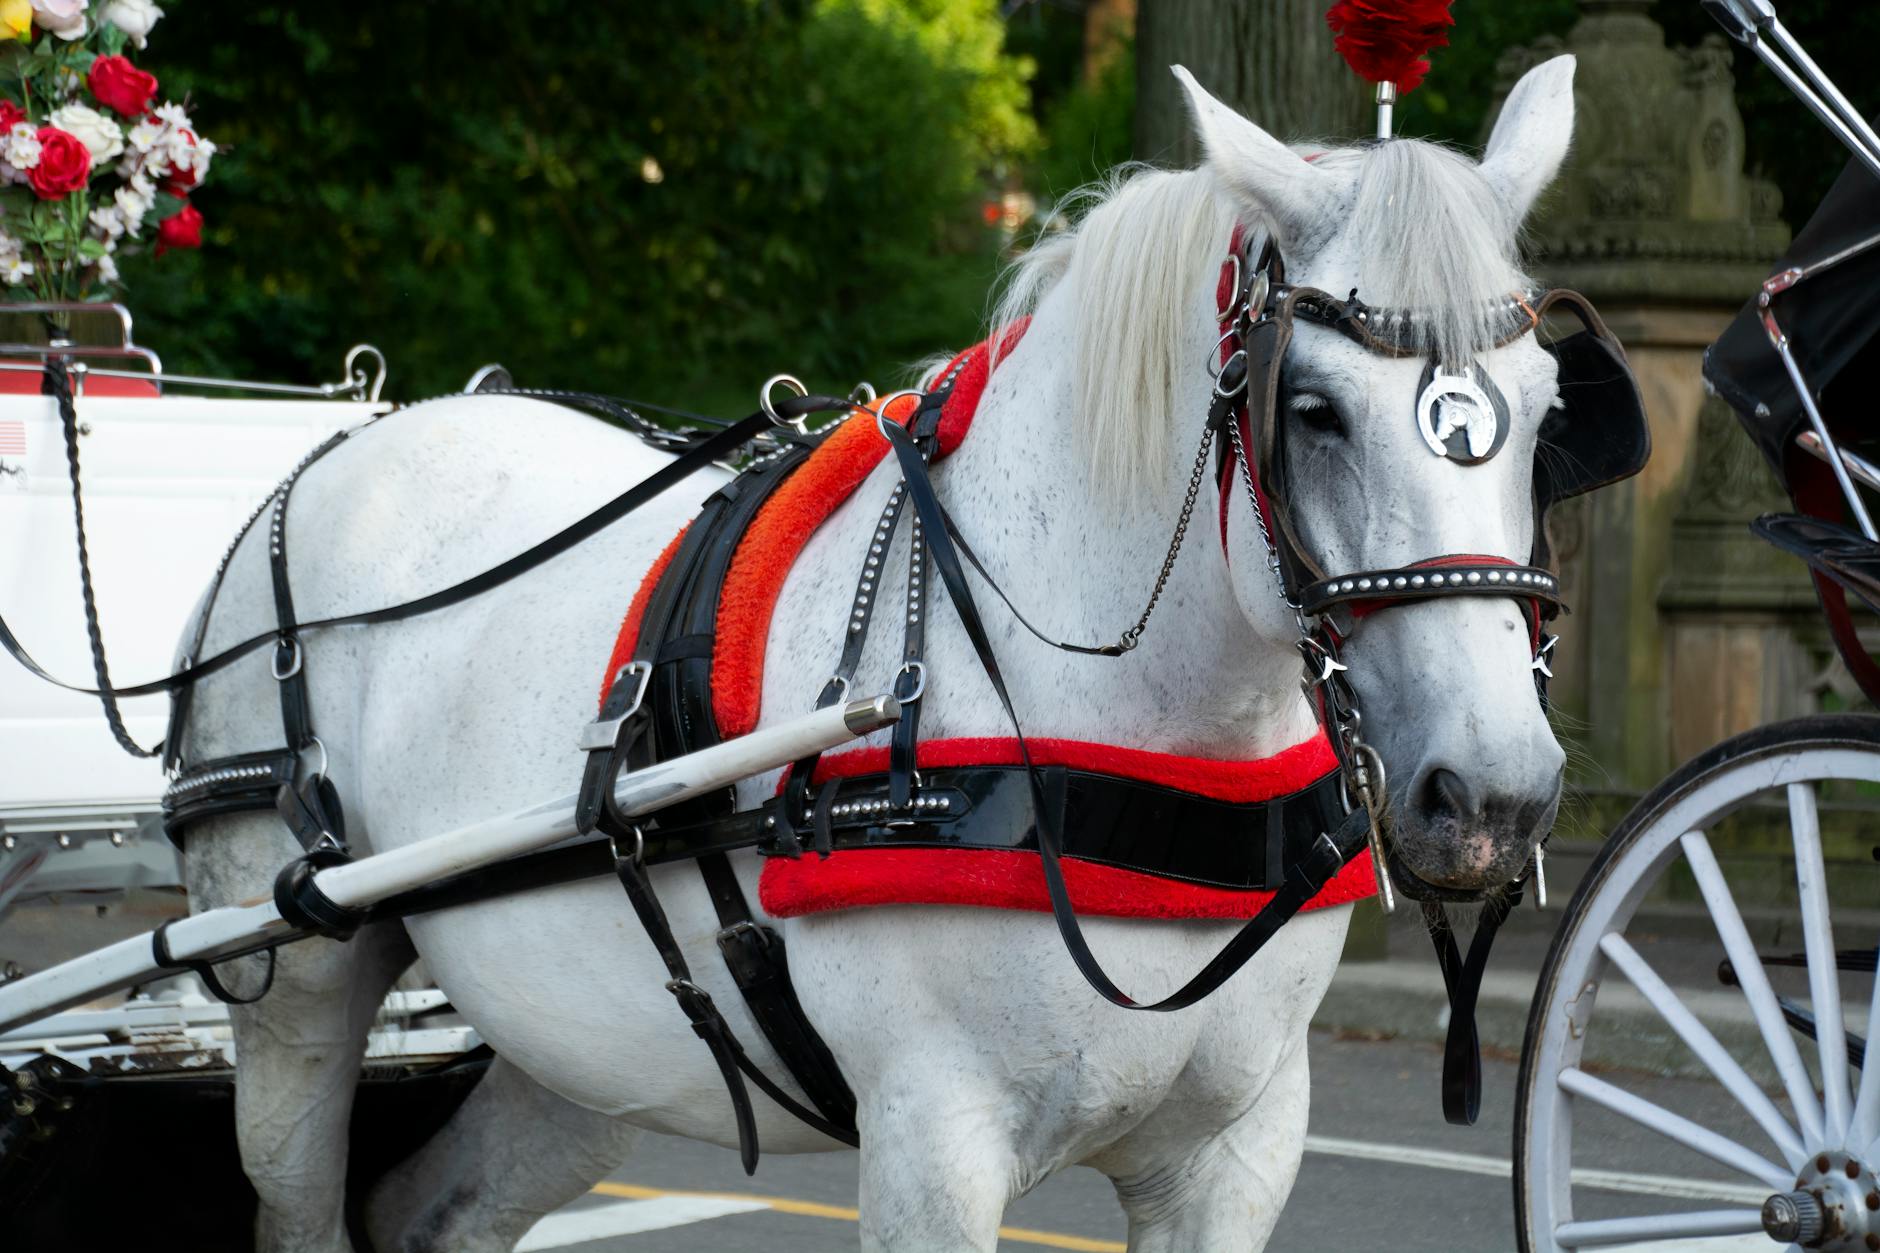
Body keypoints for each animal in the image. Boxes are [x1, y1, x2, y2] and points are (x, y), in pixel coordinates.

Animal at [172, 56, 1580, 1252]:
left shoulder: (1234, 1153)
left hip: (583, 1045)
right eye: (1312, 410)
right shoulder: (931, 1140)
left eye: (1546, 412)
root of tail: (343, 446)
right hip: (299, 992)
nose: (1490, 793)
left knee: (429, 1211)